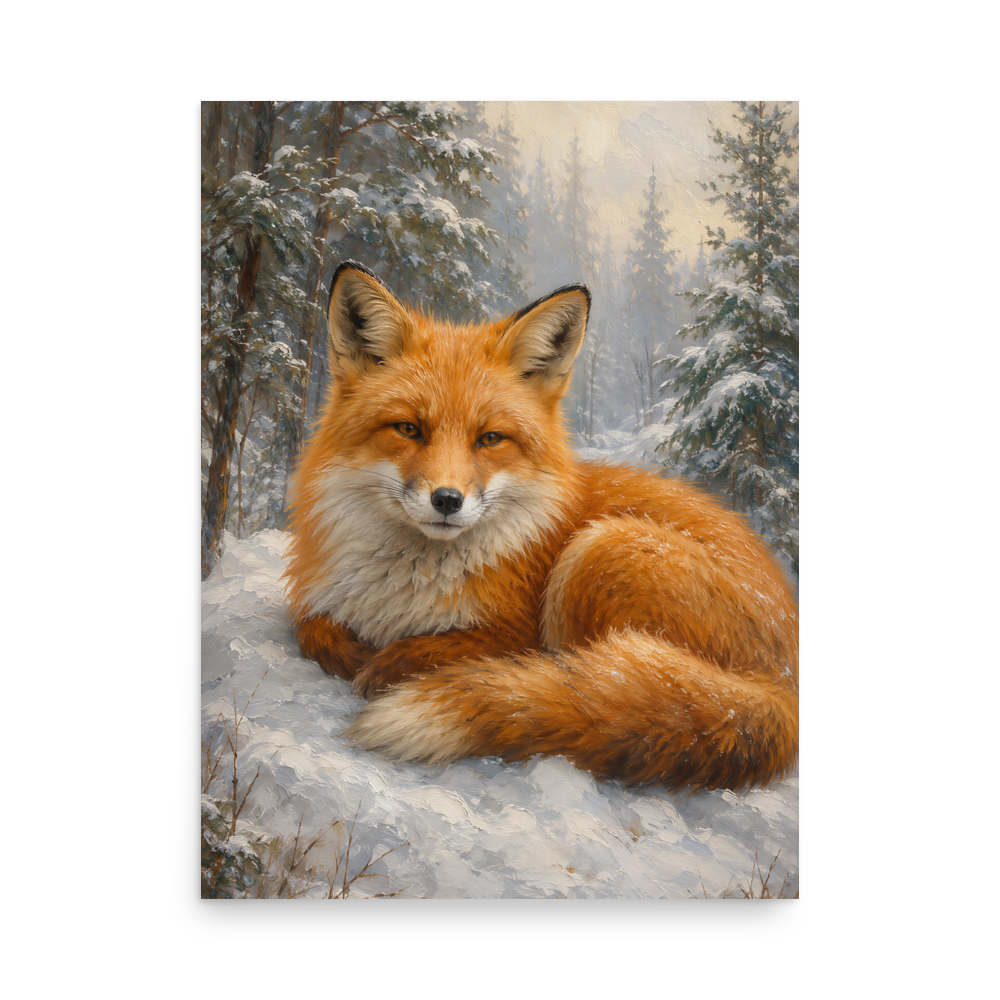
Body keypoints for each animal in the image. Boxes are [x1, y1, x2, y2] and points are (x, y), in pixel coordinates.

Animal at [282, 259, 799, 792]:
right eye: (408, 429)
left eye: (490, 438)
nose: (447, 500)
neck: (402, 589)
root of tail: (783, 683)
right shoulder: (320, 601)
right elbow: (312, 628)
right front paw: (352, 653)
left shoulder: (515, 631)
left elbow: (450, 648)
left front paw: (390, 664)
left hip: (600, 550)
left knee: (590, 684)